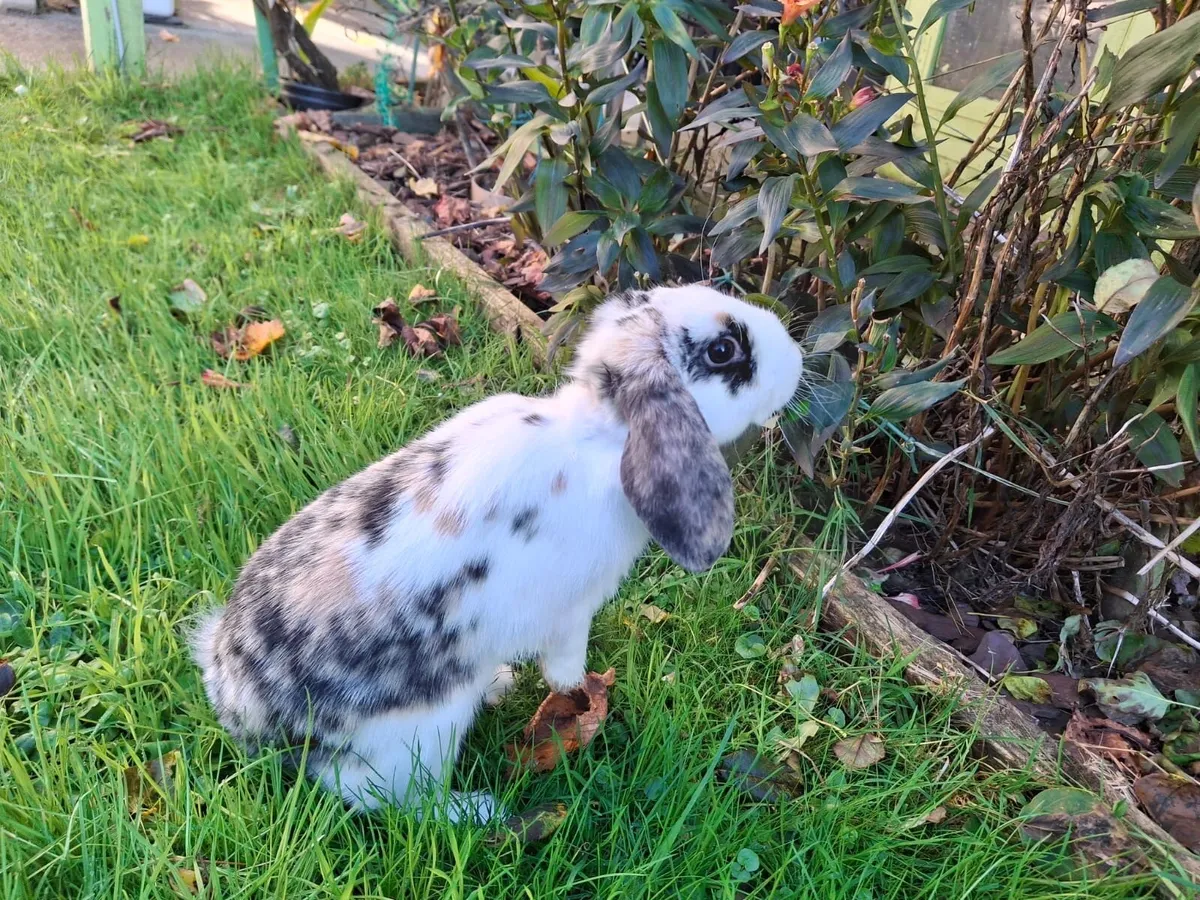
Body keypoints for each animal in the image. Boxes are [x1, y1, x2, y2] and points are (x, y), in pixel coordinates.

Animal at [192, 284, 804, 822]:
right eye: (723, 351)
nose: (797, 357)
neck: (597, 437)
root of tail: (240, 708)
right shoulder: (571, 612)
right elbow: (565, 662)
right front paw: (578, 691)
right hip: (416, 737)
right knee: (384, 798)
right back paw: (477, 809)